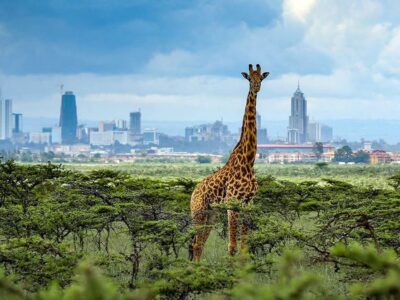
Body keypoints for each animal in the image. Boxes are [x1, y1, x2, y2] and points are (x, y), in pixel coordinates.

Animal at [190, 63, 270, 260]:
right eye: (249, 78)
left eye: (261, 78)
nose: (256, 87)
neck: (248, 160)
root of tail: (193, 193)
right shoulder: (232, 203)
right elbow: (232, 247)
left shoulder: (248, 203)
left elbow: (244, 247)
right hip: (198, 212)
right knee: (195, 244)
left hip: (210, 214)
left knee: (200, 244)